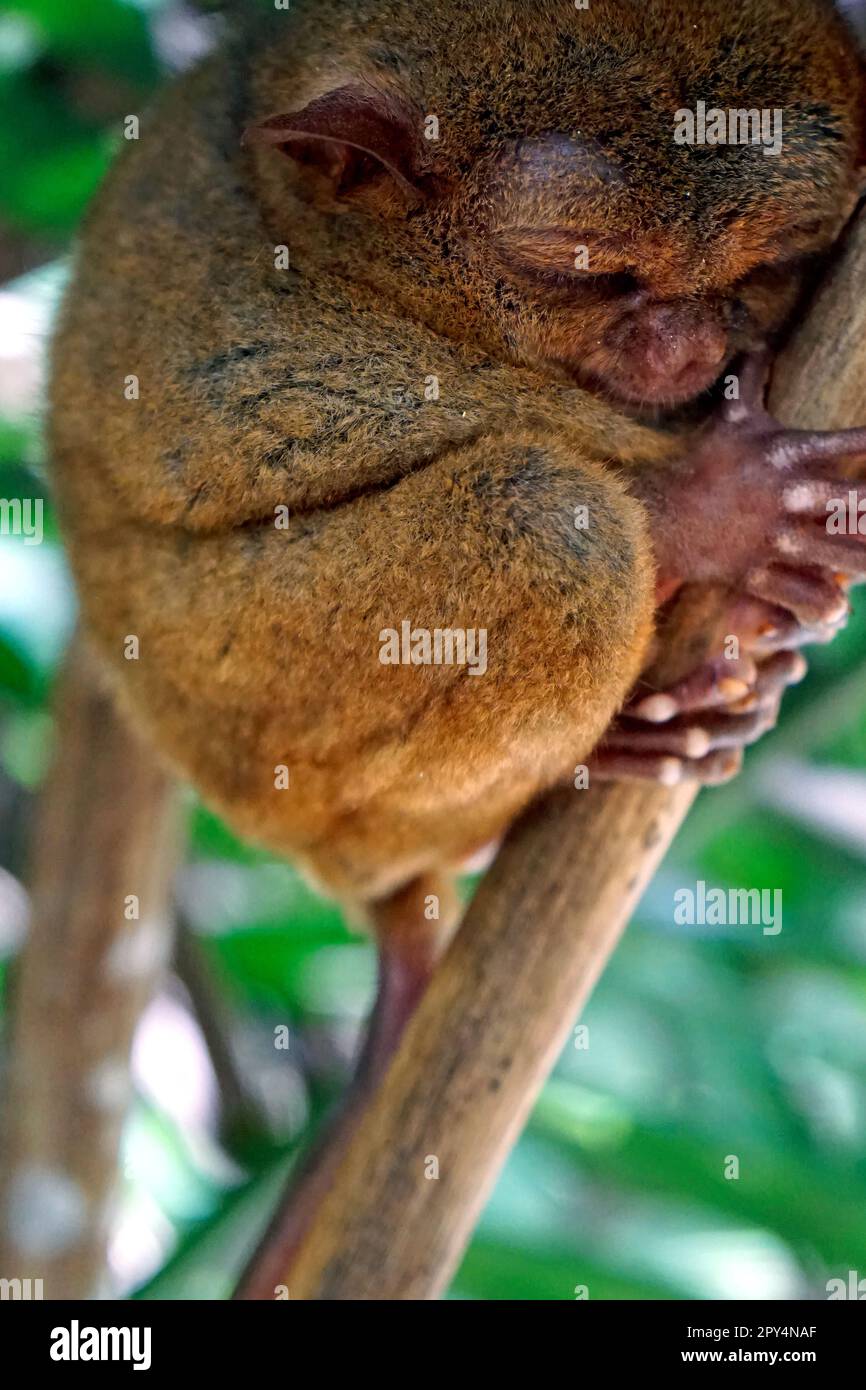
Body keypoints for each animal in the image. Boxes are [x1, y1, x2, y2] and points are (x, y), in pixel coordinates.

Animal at [48, 0, 866, 1295]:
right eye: (578, 269)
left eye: (766, 268)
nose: (681, 349)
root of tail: (348, 879)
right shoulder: (268, 335)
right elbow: (295, 429)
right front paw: (722, 506)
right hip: (279, 718)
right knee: (548, 514)